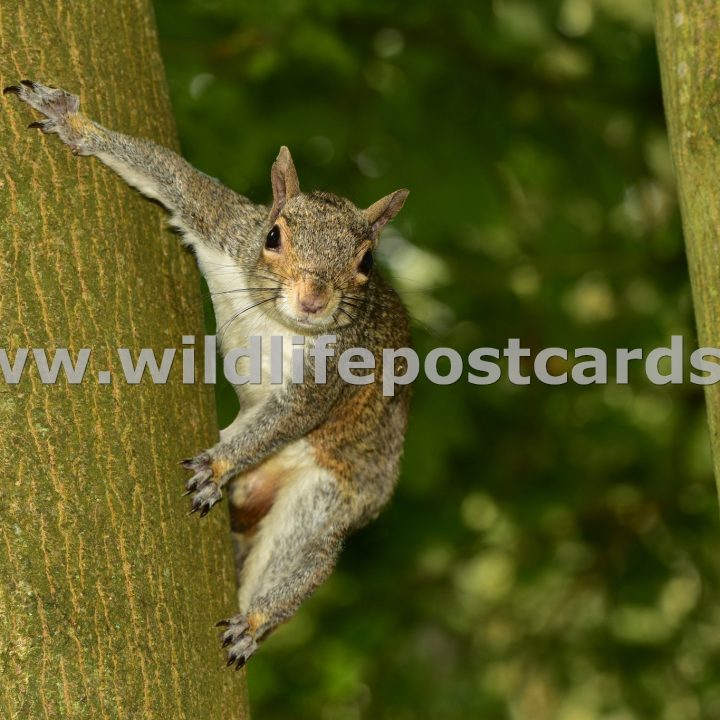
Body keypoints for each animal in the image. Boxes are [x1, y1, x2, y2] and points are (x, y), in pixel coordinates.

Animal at [4, 79, 410, 668]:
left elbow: (290, 416)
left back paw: (254, 622)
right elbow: (168, 173)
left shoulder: (335, 367)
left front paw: (215, 466)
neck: (277, 318)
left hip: (330, 494)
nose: (314, 299)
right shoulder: (223, 224)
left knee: (305, 554)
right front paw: (73, 123)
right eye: (272, 236)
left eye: (367, 263)